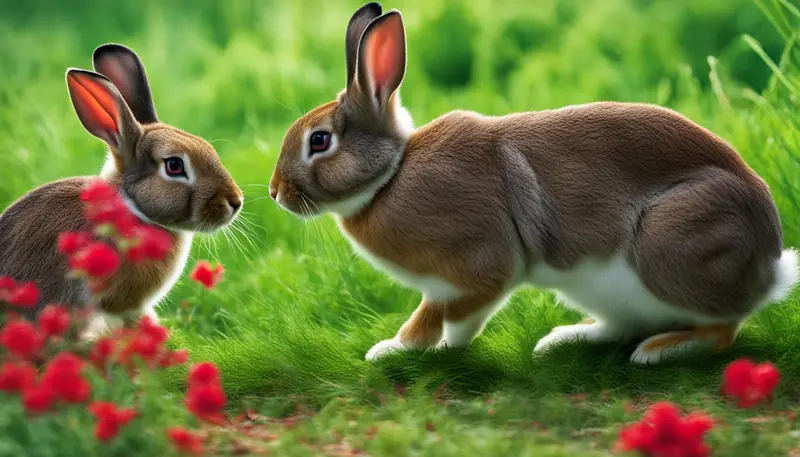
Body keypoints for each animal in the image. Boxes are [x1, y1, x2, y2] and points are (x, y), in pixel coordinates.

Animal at [269, 2, 799, 365]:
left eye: (320, 140)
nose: (275, 193)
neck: (390, 176)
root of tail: (769, 264)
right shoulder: (439, 288)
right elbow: (422, 319)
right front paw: (392, 350)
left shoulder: (482, 266)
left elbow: (460, 319)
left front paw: (444, 349)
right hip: (603, 289)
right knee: (622, 325)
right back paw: (562, 339)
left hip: (672, 247)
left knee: (723, 328)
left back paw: (658, 351)